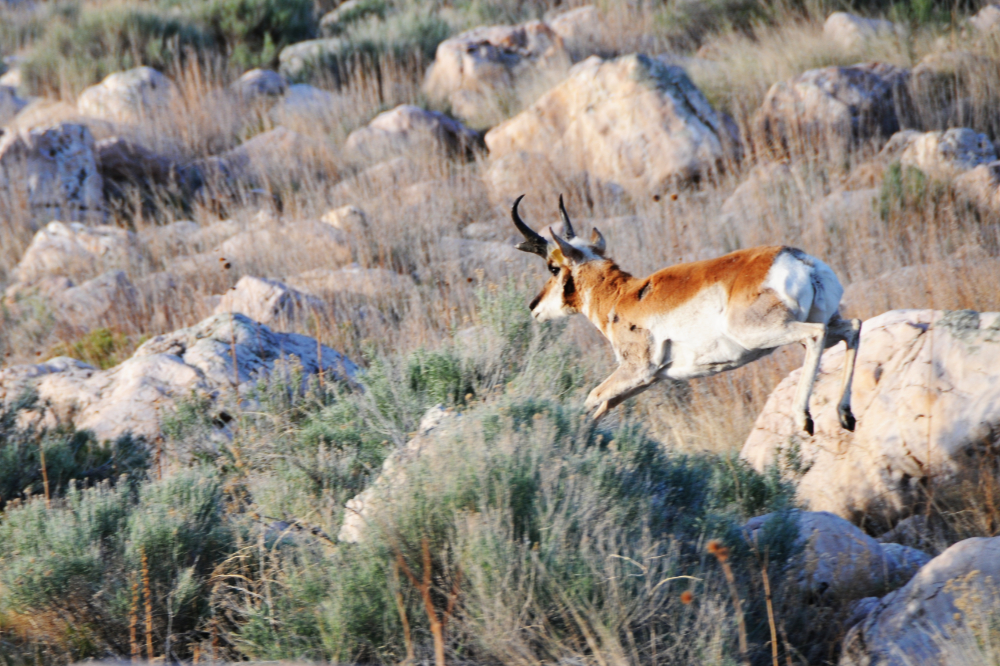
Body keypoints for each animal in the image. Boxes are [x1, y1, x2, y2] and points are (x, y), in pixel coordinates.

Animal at [510, 195, 861, 434]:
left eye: (552, 267)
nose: (533, 306)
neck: (622, 295)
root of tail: (797, 258)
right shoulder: (650, 379)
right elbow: (606, 403)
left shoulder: (637, 370)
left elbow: (592, 397)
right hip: (821, 325)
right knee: (853, 328)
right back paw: (845, 415)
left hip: (765, 333)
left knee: (816, 334)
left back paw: (804, 419)